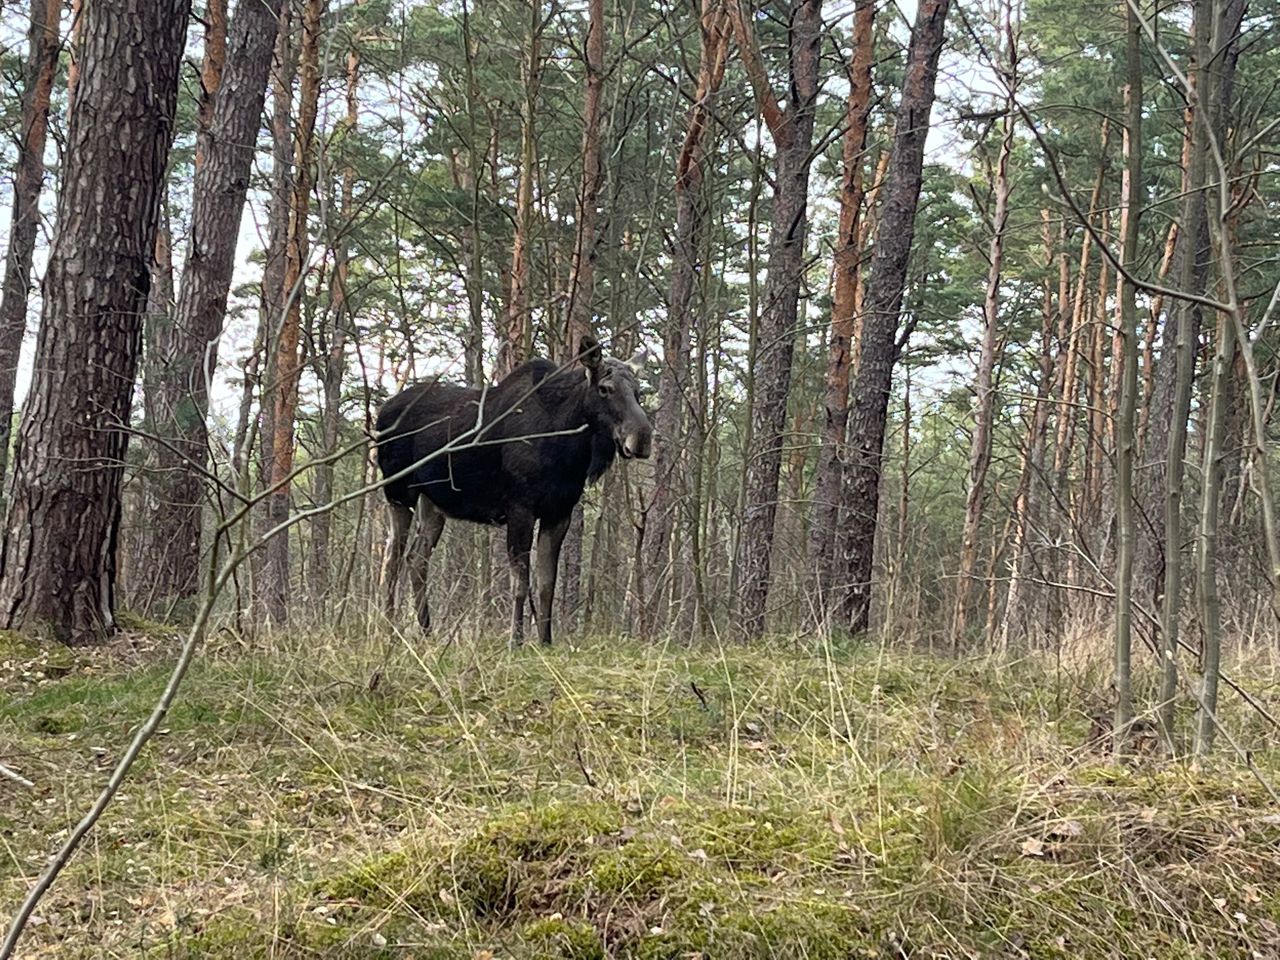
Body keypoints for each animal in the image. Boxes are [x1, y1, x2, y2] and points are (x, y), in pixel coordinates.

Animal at [371, 337, 650, 647]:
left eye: (638, 392)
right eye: (604, 388)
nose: (642, 437)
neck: (568, 448)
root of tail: (380, 415)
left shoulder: (558, 513)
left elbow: (546, 584)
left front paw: (545, 642)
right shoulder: (520, 509)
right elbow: (521, 582)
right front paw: (515, 642)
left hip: (432, 504)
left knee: (416, 559)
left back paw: (426, 632)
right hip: (398, 493)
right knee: (391, 560)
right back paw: (388, 630)